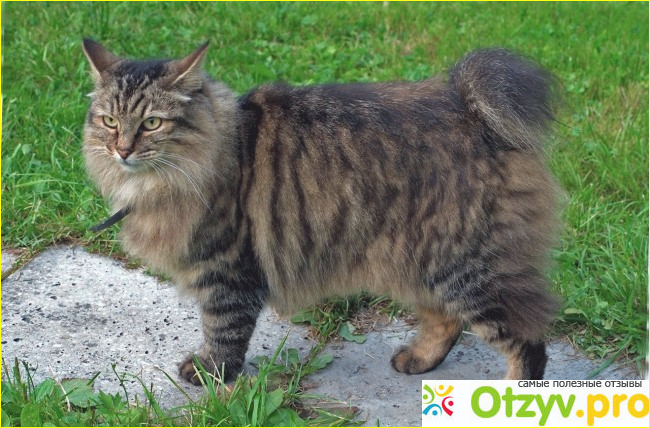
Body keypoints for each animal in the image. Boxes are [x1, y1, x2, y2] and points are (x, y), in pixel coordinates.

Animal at [82, 39, 562, 382]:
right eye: (109, 121)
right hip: (421, 261)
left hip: (465, 268)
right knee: (446, 322)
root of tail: (469, 108)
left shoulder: (229, 271)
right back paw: (417, 361)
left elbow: (223, 332)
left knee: (528, 342)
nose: (121, 149)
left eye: (151, 124)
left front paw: (209, 373)